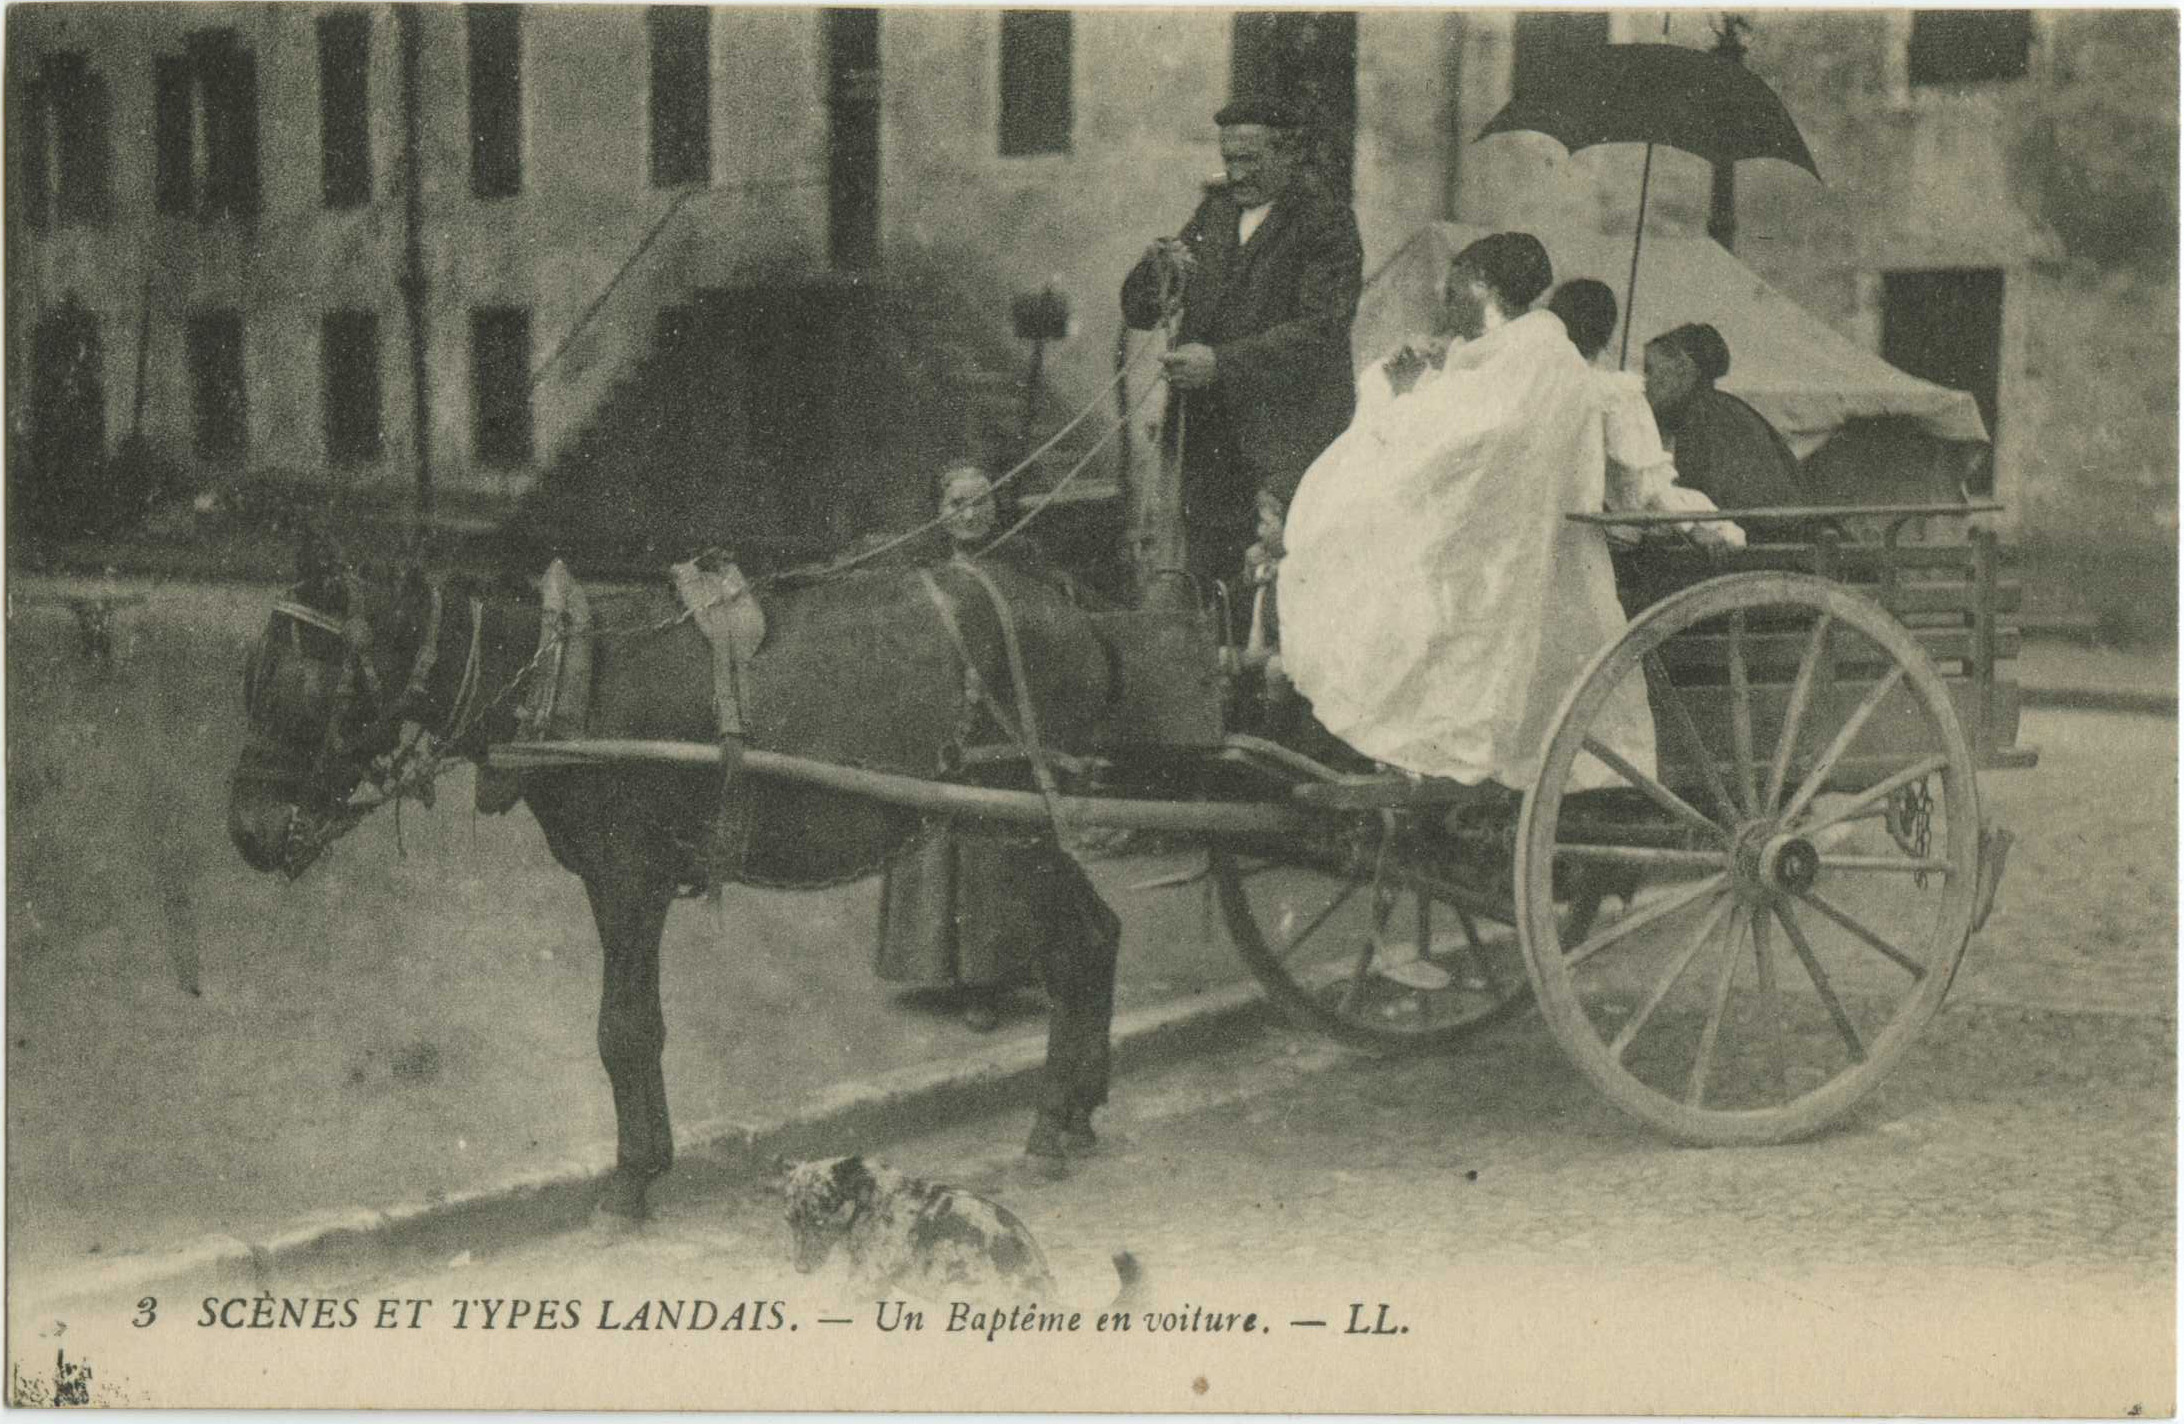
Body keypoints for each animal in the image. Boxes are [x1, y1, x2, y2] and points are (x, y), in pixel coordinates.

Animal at [226, 539, 1126, 1214]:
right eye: (252, 678)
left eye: (299, 684)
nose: (247, 833)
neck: (563, 675)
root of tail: (1070, 604)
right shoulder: (619, 881)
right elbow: (634, 1028)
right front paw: (647, 1163)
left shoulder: (628, 878)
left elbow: (623, 1030)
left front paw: (630, 1181)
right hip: (1026, 825)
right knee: (1097, 938)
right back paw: (1080, 1115)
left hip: (1021, 824)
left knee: (1078, 946)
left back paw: (1051, 1125)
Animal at [777, 1153, 1144, 1310]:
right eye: (790, 1221)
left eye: (819, 1221)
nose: (800, 1269)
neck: (866, 1197)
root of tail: (1050, 1299)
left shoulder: (865, 1280)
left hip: (956, 1293)